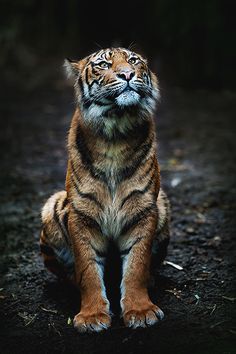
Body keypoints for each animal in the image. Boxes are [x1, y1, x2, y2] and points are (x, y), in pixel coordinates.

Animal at [40, 46, 170, 332]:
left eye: (133, 61)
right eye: (103, 64)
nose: (128, 74)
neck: (115, 134)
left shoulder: (144, 209)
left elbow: (136, 266)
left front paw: (140, 311)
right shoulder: (81, 214)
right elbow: (87, 269)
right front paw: (91, 316)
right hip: (52, 207)